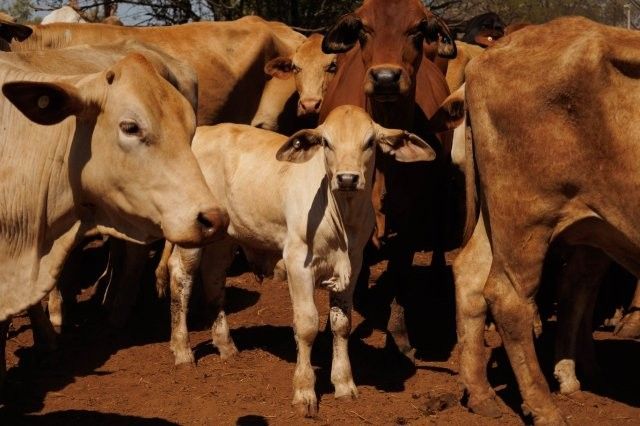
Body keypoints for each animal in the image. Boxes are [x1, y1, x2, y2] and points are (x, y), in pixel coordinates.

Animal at [156, 105, 437, 417]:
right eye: (327, 142)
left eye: (369, 142)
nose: (347, 179)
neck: (342, 218)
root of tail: (201, 133)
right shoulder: (297, 262)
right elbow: (307, 325)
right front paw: (304, 392)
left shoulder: (354, 264)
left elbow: (341, 324)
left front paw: (344, 384)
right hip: (191, 237)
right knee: (181, 277)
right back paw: (182, 351)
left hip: (224, 237)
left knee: (214, 277)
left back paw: (226, 346)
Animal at [318, 0, 456, 359]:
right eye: (363, 29)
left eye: (418, 29)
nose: (385, 78)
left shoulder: (410, 212)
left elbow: (401, 268)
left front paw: (399, 333)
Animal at [455, 17, 640, 424]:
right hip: (526, 216)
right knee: (508, 297)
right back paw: (545, 408)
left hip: (505, 220)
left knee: (470, 274)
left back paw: (482, 394)